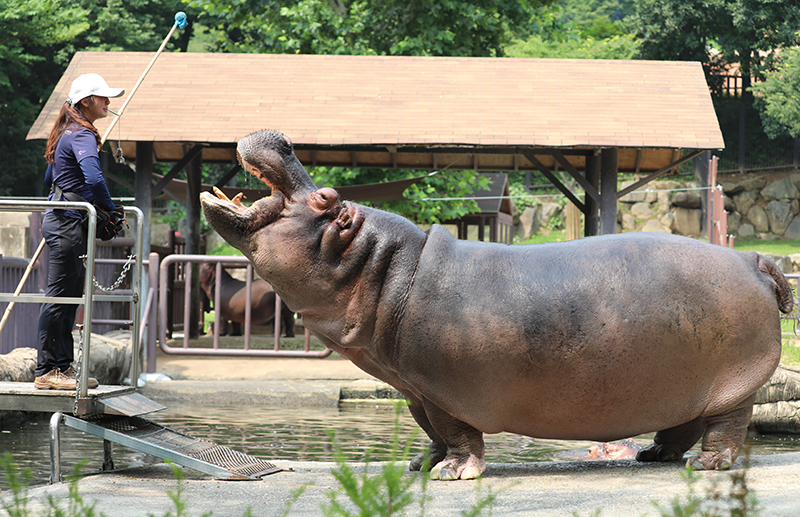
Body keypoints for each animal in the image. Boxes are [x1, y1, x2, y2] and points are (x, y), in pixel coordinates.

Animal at [202, 129, 792, 480]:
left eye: (326, 198)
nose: (283, 138)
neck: (382, 269)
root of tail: (752, 259)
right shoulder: (416, 386)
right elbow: (428, 428)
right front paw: (419, 465)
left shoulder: (444, 387)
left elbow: (456, 432)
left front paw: (452, 473)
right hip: (687, 383)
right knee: (683, 424)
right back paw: (655, 455)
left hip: (732, 379)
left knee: (729, 422)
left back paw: (712, 464)